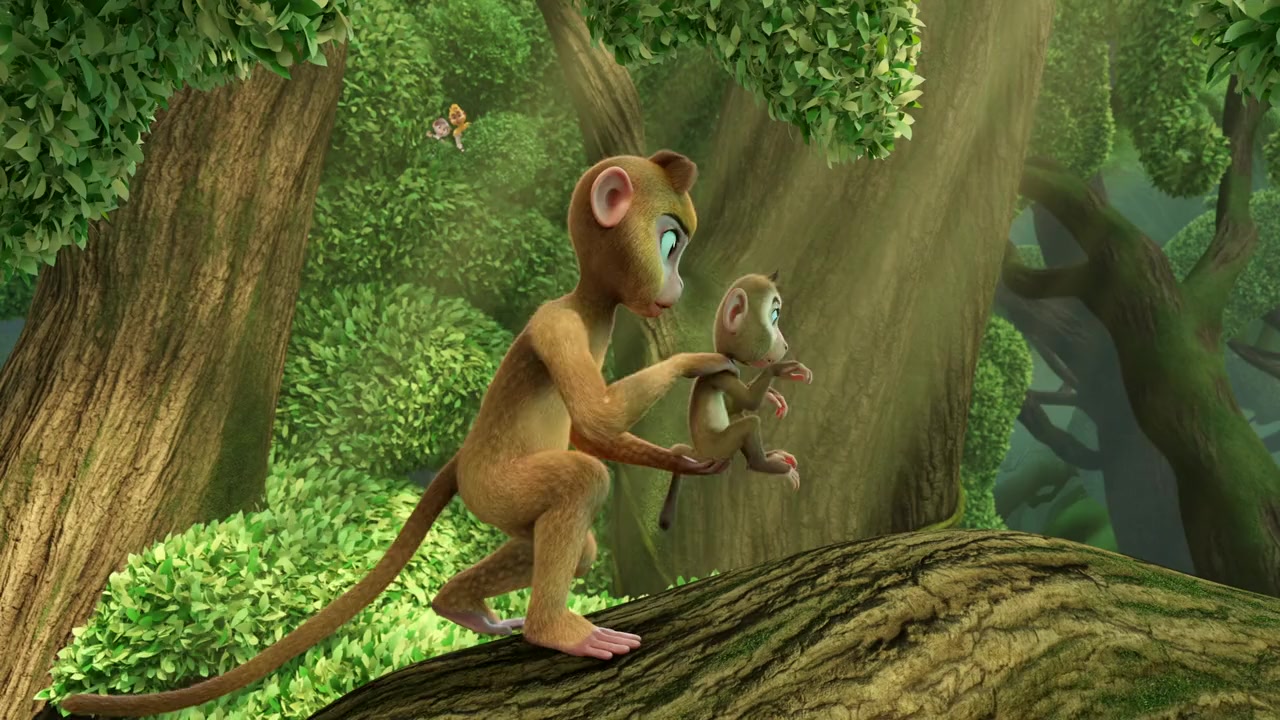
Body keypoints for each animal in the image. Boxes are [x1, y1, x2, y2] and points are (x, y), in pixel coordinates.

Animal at [59, 150, 736, 717]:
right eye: (668, 242)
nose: (678, 287)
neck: (591, 304)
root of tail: (463, 462)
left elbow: (593, 432)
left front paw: (685, 453)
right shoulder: (559, 326)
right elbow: (594, 425)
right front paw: (699, 367)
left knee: (576, 542)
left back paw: (457, 605)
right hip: (500, 488)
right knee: (580, 482)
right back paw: (554, 631)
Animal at [657, 272, 814, 532]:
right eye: (774, 316)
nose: (786, 346)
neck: (725, 356)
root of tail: (699, 452)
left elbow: (736, 406)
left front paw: (772, 394)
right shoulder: (722, 374)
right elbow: (749, 403)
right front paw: (783, 369)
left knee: (738, 417)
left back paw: (771, 456)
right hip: (719, 445)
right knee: (749, 424)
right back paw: (765, 464)